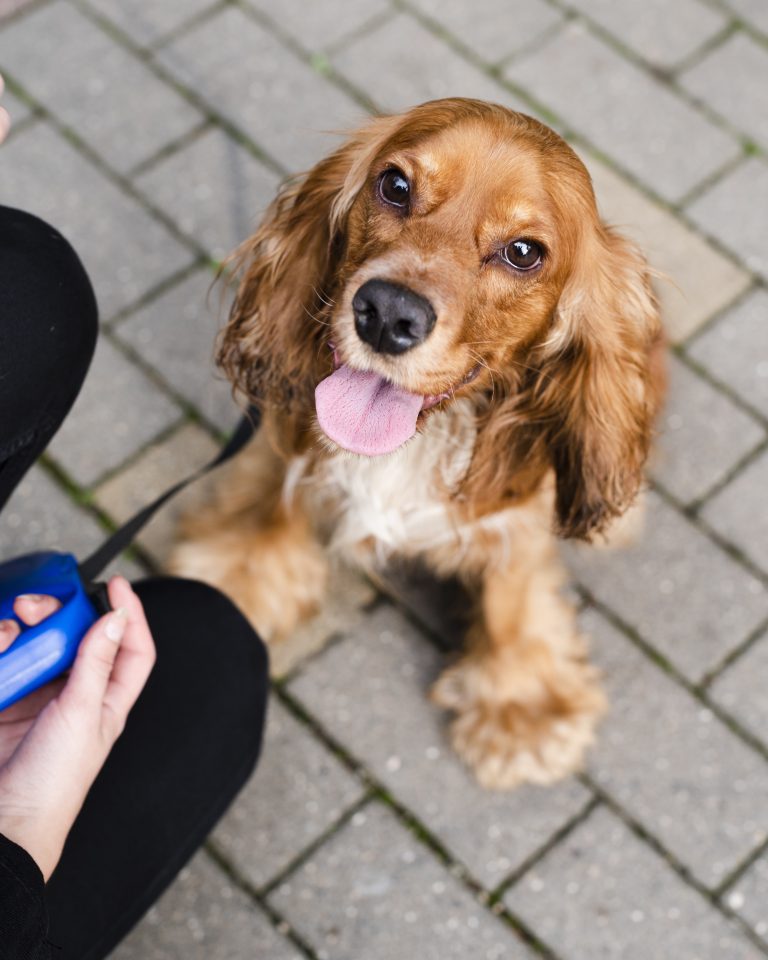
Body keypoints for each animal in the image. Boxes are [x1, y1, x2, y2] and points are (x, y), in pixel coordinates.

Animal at [171, 99, 664, 788]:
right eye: (395, 186)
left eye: (524, 252)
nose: (386, 313)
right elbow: (278, 497)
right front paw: (245, 571)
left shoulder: (516, 507)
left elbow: (514, 585)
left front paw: (520, 701)